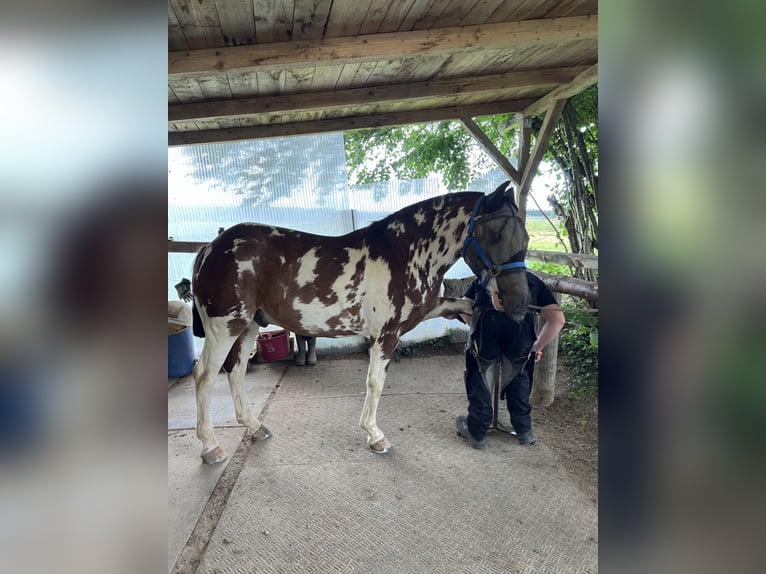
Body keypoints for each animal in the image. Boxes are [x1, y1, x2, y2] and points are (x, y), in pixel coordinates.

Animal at [190, 181, 529, 463]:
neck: (405, 253)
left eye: (524, 237)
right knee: (204, 375)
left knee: (235, 372)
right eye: (496, 234)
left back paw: (255, 427)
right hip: (225, 327)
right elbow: (375, 382)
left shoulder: (428, 309)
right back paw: (210, 448)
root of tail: (210, 248)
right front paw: (375, 437)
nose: (518, 303)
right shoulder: (386, 334)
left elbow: (469, 306)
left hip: (248, 325)